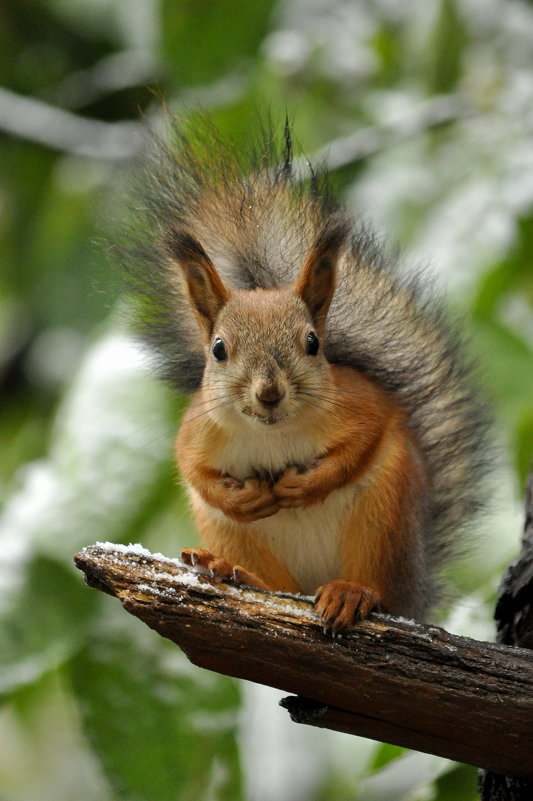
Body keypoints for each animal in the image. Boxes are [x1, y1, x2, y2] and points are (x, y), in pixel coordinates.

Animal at [121, 115, 490, 636]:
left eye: (313, 343)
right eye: (218, 350)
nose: (270, 392)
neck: (271, 433)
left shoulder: (358, 406)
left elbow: (364, 439)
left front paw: (306, 485)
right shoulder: (198, 429)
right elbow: (191, 468)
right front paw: (241, 499)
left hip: (384, 517)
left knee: (375, 583)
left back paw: (351, 593)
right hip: (235, 535)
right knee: (276, 585)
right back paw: (230, 569)